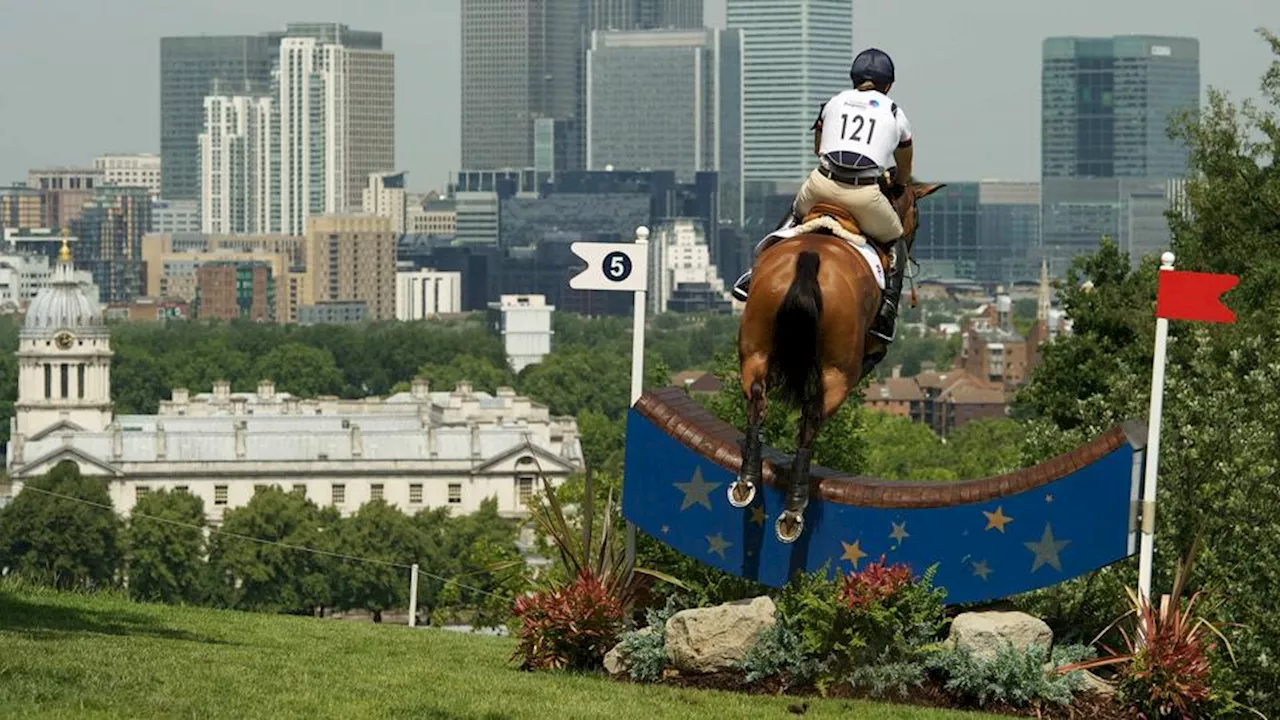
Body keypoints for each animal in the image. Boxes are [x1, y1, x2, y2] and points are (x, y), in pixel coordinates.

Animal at [732, 181, 942, 540]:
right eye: (917, 214)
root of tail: (810, 258)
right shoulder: (867, 354)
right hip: (838, 374)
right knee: (811, 418)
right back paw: (794, 508)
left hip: (754, 348)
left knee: (758, 400)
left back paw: (747, 479)